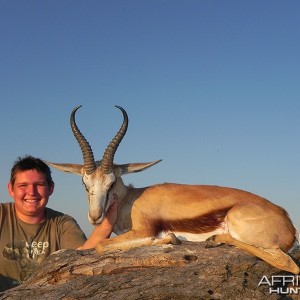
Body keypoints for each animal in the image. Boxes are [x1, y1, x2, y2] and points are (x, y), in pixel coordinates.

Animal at [45, 105, 300, 274]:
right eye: (84, 183)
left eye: (112, 182)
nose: (95, 217)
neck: (132, 200)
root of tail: (288, 224)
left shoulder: (143, 229)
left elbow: (100, 245)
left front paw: (170, 239)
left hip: (242, 224)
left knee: (289, 265)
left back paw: (214, 238)